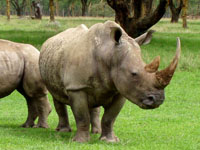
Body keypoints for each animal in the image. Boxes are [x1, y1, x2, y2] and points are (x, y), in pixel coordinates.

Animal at [39, 20, 181, 142]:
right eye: (134, 74)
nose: (158, 100)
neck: (109, 53)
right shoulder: (76, 87)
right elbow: (81, 116)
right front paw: (80, 141)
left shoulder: (121, 90)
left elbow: (110, 117)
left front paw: (109, 140)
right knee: (57, 96)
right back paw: (63, 131)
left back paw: (95, 131)